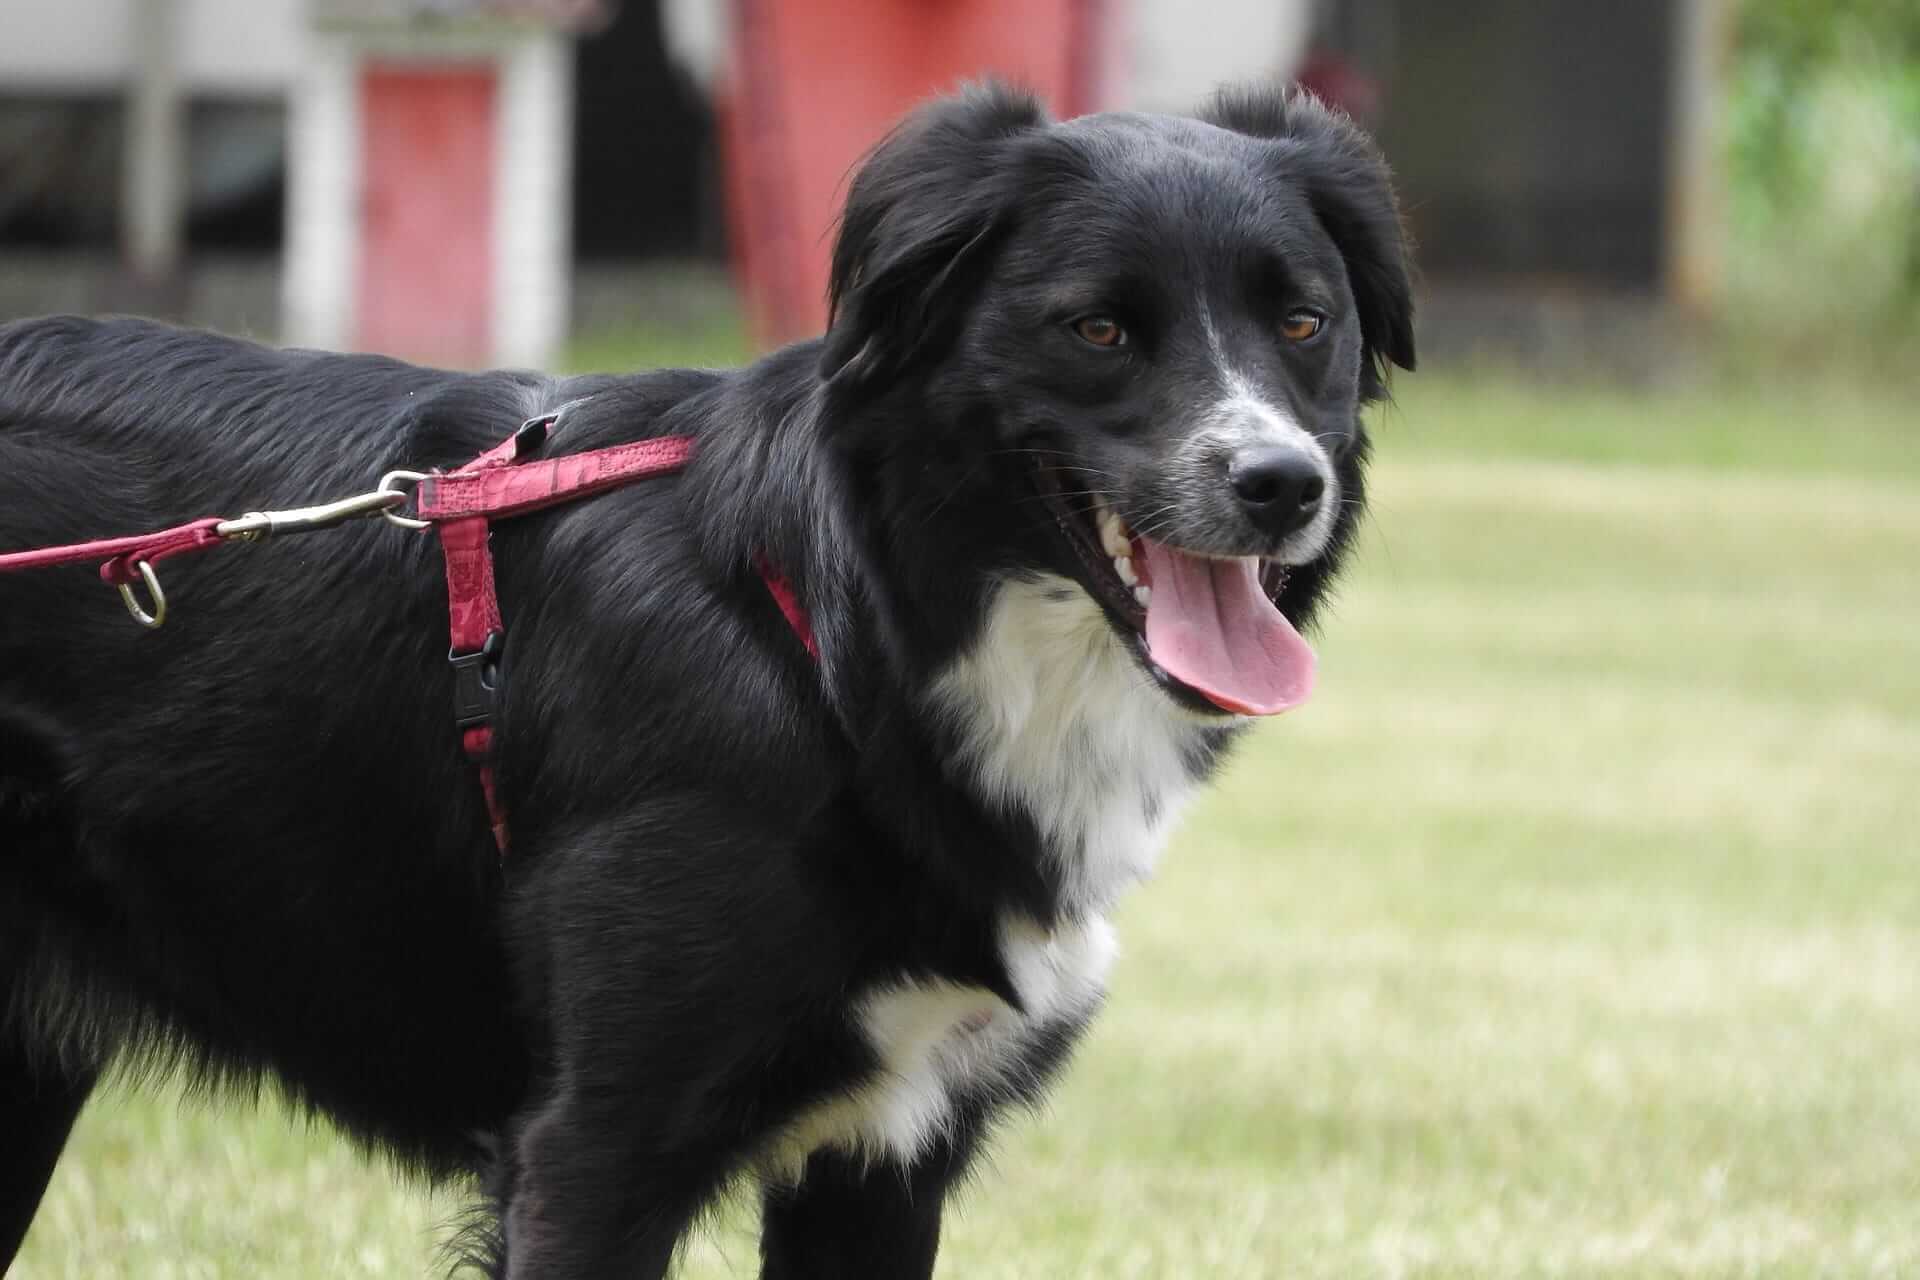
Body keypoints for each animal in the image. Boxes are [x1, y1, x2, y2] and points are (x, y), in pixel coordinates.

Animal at [0, 84, 1413, 1274]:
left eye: (1304, 322)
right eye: (1100, 327)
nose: (1282, 485)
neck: (836, 655)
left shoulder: (883, 1159)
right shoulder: (594, 1150)